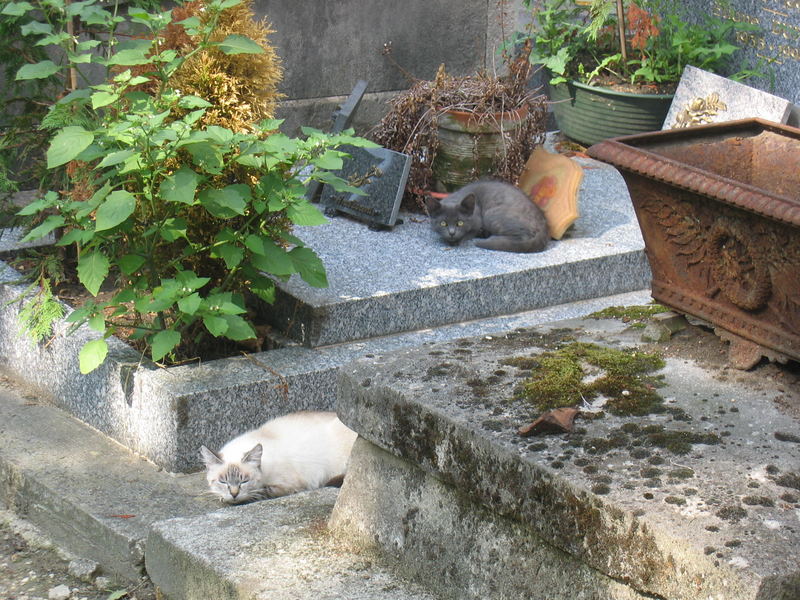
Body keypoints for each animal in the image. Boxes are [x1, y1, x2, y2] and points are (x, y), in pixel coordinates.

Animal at [424, 179, 552, 252]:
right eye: (443, 223)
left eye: (460, 223)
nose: (451, 232)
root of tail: (544, 226)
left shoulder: (477, 221)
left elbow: (470, 233)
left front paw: (459, 240)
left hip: (491, 215)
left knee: (523, 236)